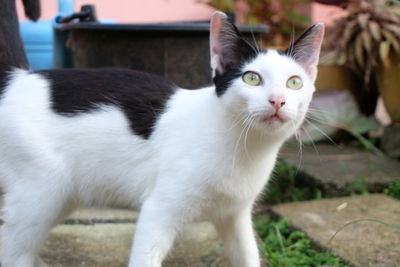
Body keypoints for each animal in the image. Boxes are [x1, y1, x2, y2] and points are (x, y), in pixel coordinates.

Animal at [0, 11, 324, 267]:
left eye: (294, 82)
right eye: (252, 78)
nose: (277, 100)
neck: (244, 148)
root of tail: (17, 79)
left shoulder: (234, 215)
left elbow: (247, 255)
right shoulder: (159, 209)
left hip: (62, 195)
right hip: (41, 191)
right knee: (11, 252)